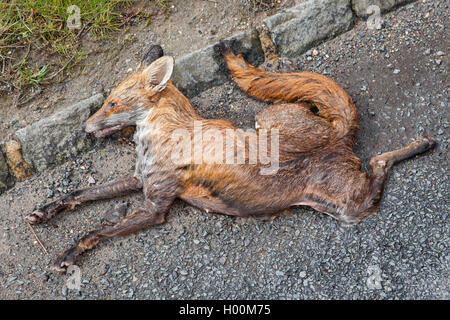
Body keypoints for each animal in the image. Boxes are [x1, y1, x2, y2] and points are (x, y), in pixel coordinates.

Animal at [26, 43, 434, 272]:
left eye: (112, 103)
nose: (84, 127)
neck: (163, 132)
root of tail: (338, 133)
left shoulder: (156, 207)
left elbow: (95, 230)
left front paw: (68, 254)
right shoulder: (140, 180)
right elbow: (81, 195)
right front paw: (47, 211)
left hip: (347, 202)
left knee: (380, 162)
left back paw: (423, 144)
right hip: (329, 199)